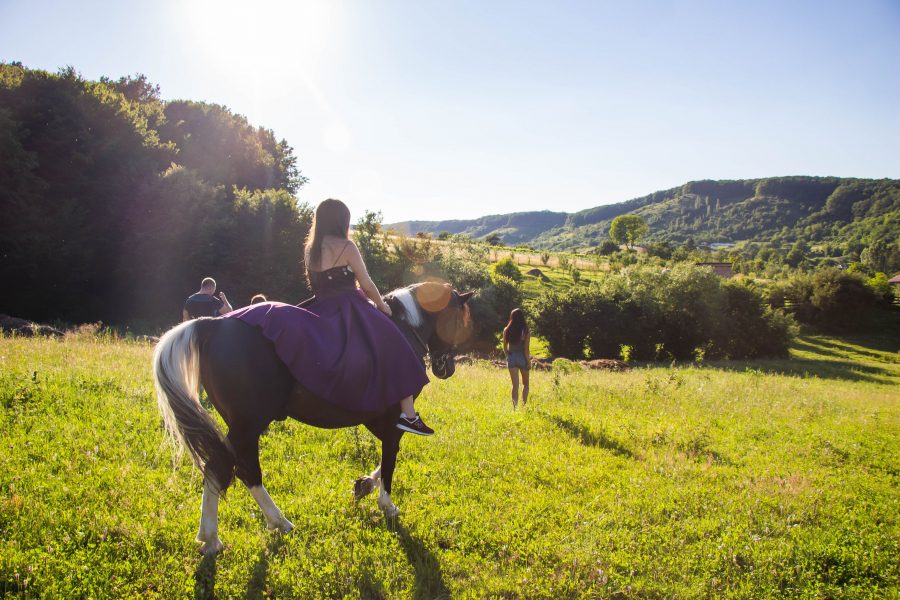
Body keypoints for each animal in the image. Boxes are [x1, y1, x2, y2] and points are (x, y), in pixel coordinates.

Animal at [151, 282, 474, 552]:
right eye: (461, 321)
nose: (447, 368)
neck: (403, 327)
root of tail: (211, 324)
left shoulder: (377, 418)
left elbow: (387, 456)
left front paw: (363, 486)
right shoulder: (392, 417)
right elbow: (391, 456)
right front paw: (386, 503)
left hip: (241, 426)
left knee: (219, 467)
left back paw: (212, 539)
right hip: (248, 424)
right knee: (238, 470)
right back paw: (272, 523)